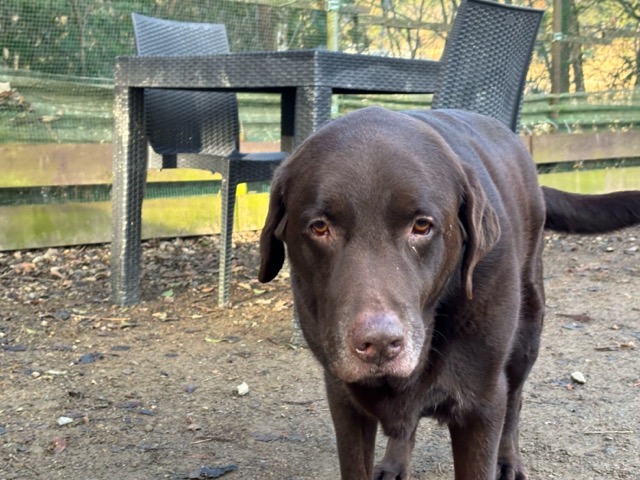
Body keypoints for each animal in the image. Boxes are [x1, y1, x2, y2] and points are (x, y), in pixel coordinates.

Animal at [258, 107, 640, 480]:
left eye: (422, 226)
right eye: (320, 227)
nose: (379, 343)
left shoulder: (481, 405)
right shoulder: (345, 401)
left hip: (527, 330)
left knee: (515, 400)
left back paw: (508, 459)